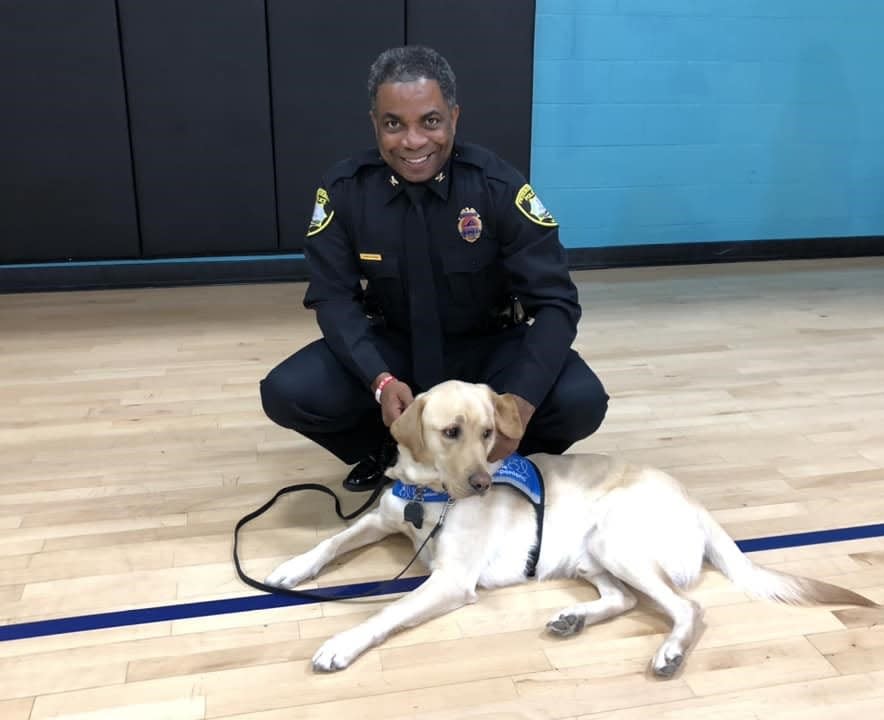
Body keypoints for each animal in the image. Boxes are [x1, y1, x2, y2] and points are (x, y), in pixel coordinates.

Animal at [264, 382, 876, 676]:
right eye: (451, 431)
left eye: (489, 434)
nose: (482, 483)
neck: (430, 493)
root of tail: (697, 504)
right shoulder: (380, 519)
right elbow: (332, 540)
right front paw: (291, 567)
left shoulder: (449, 580)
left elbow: (385, 611)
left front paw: (341, 644)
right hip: (587, 555)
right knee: (625, 600)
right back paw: (574, 618)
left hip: (614, 541)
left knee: (686, 607)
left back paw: (669, 652)